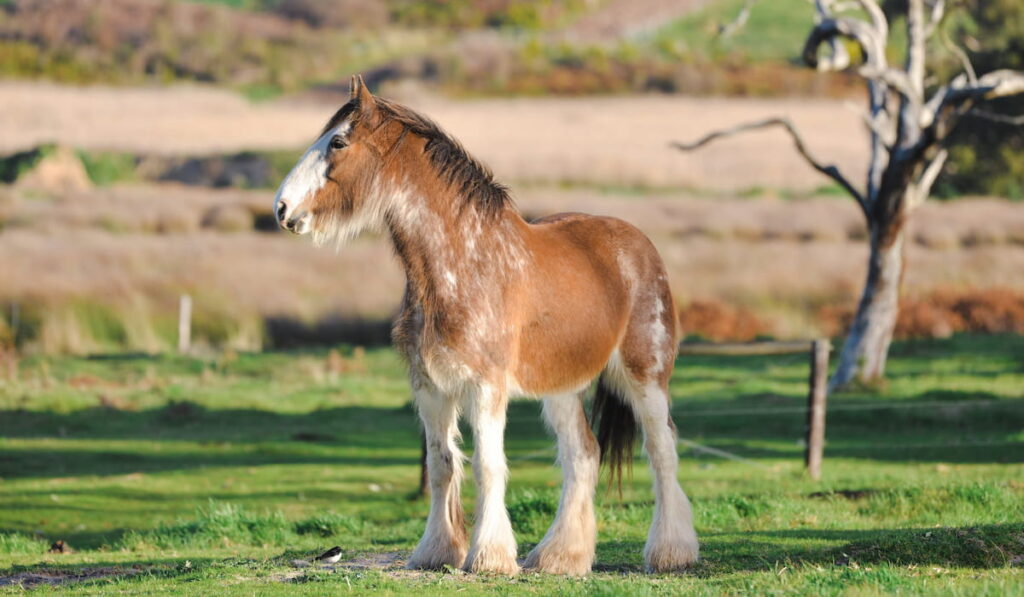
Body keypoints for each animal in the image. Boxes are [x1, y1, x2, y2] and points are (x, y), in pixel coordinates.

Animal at [276, 77, 700, 577]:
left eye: (338, 142)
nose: (282, 209)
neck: (463, 262)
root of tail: (638, 243)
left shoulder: (486, 386)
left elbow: (487, 465)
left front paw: (489, 557)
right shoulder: (429, 387)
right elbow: (442, 464)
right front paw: (437, 551)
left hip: (645, 375)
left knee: (662, 450)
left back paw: (671, 552)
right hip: (561, 387)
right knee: (583, 455)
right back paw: (559, 558)